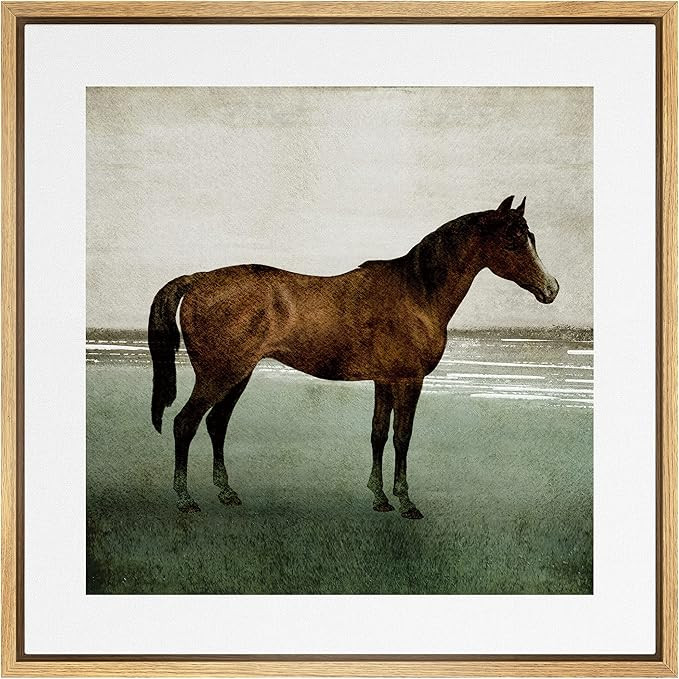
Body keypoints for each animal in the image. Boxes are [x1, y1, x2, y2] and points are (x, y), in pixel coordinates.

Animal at [148, 195, 559, 518]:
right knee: (185, 424)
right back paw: (185, 499)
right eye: (512, 242)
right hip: (218, 375)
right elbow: (402, 437)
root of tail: (197, 279)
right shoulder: (410, 381)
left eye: (532, 238)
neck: (417, 292)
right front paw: (406, 502)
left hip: (238, 375)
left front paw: (379, 497)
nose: (551, 289)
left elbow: (378, 434)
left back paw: (227, 492)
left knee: (216, 424)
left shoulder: (385, 380)